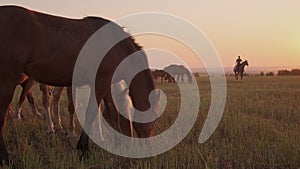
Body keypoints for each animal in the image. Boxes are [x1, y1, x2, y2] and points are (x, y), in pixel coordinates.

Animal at [0, 5, 159, 164]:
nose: (147, 148)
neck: (114, 44)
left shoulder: (106, 83)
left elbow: (112, 113)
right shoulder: (100, 82)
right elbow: (91, 112)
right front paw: (83, 149)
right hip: (9, 80)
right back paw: (6, 157)